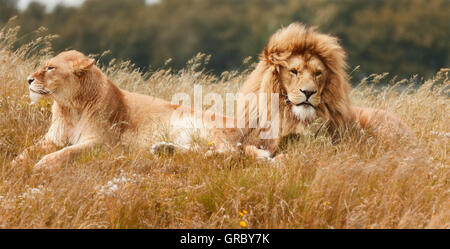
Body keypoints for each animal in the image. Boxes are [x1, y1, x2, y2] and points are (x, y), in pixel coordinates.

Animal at [11, 50, 236, 171]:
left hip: (207, 127)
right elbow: (28, 150)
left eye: (50, 68)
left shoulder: (104, 142)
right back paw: (164, 149)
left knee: (230, 151)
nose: (28, 79)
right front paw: (16, 162)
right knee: (196, 150)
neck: (70, 107)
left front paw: (43, 164)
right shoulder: (52, 139)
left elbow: (69, 151)